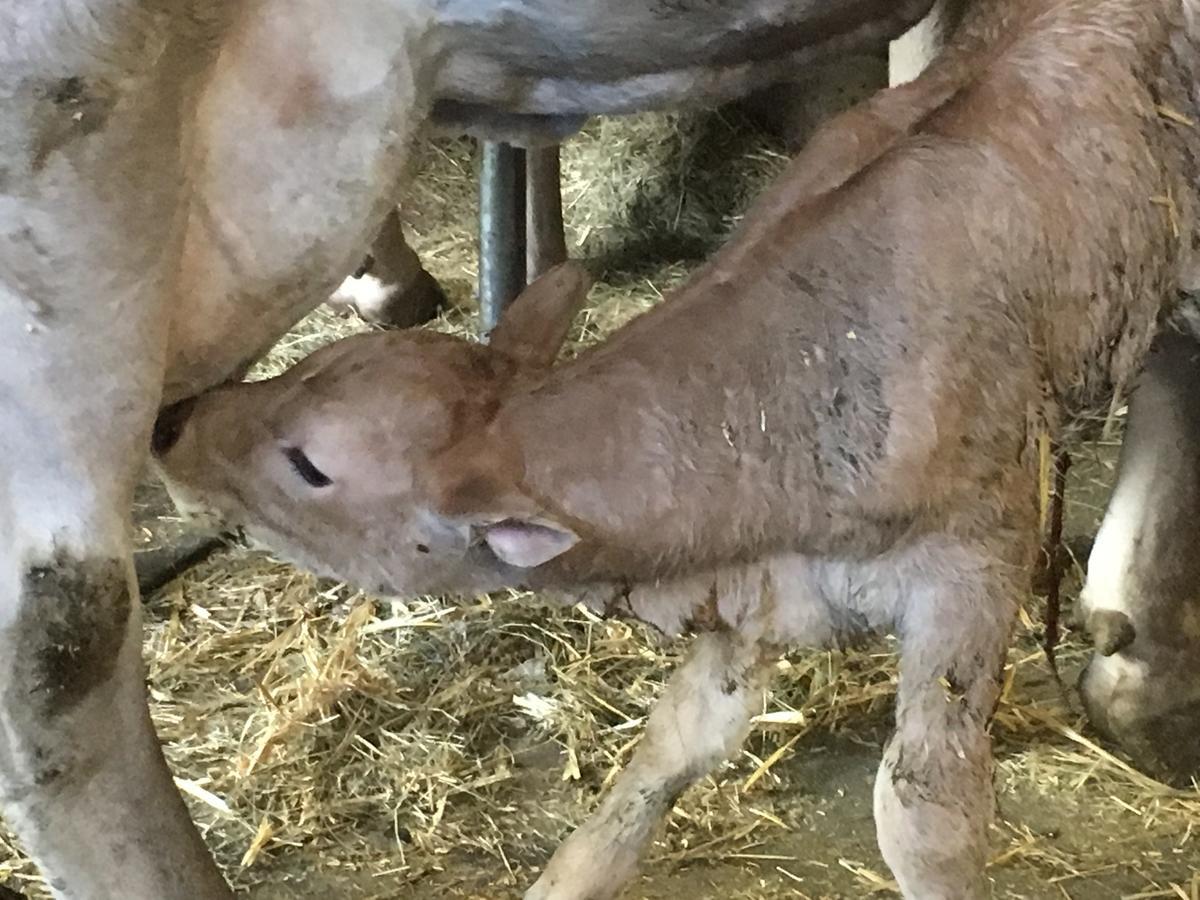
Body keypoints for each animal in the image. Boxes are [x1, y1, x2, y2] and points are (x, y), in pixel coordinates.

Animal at [159, 3, 1200, 897]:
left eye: (311, 464)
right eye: (314, 362)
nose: (175, 427)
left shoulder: (975, 566)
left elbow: (922, 812)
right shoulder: (760, 590)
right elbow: (667, 748)